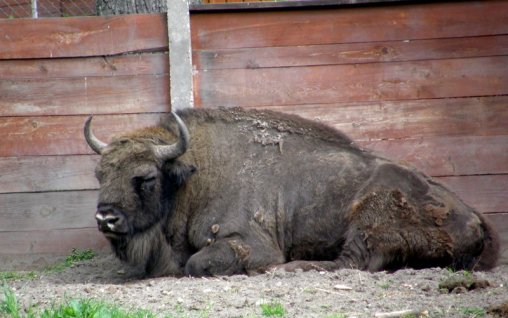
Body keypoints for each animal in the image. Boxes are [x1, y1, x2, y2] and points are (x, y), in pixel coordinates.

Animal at [84, 108, 500, 278]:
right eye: (100, 173)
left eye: (145, 177)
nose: (105, 217)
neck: (194, 174)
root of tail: (476, 219)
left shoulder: (250, 243)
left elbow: (196, 265)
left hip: (371, 213)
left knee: (353, 262)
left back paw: (288, 268)